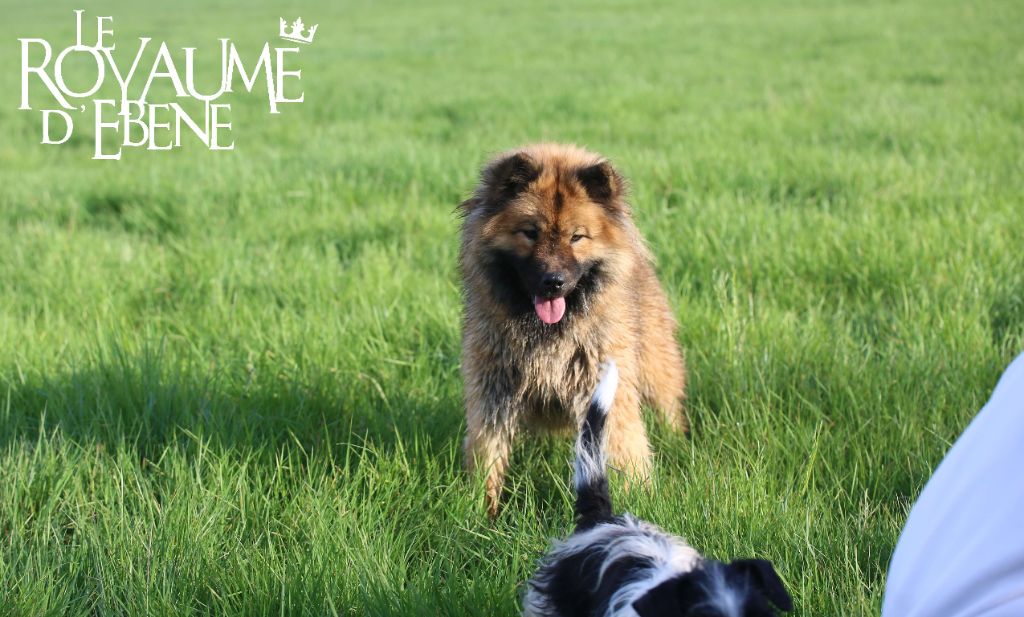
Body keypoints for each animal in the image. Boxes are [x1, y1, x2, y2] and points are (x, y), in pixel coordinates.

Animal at [458, 145, 684, 515]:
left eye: (577, 237)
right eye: (530, 232)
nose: (553, 283)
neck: (547, 334)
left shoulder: (606, 389)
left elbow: (626, 452)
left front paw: (640, 501)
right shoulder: (492, 394)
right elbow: (487, 459)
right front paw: (483, 514)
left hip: (655, 372)